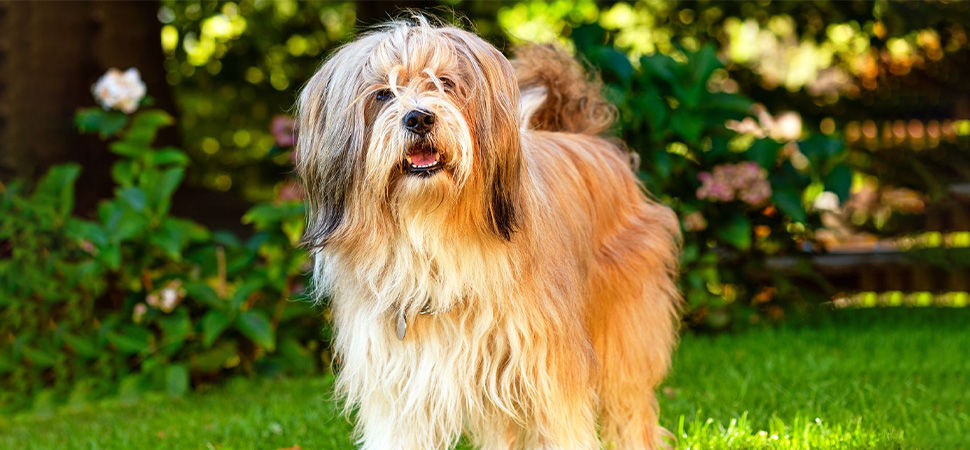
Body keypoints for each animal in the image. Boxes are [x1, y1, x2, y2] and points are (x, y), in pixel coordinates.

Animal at [294, 15, 680, 450]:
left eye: (445, 83)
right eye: (382, 94)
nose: (419, 118)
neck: (434, 236)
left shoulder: (546, 373)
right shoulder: (401, 386)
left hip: (623, 330)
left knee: (631, 409)